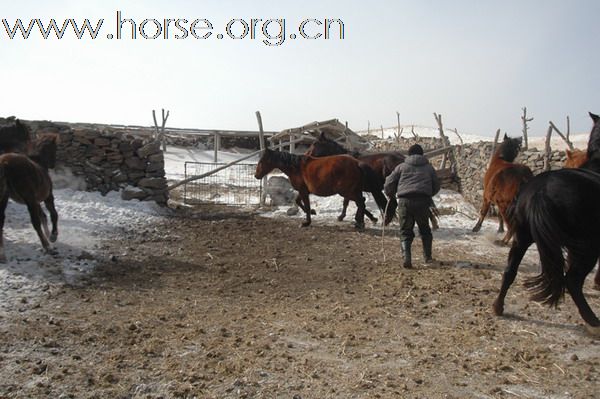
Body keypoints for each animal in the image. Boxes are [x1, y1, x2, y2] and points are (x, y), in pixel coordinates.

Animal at [0, 131, 58, 262]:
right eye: (55, 148)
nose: (53, 164)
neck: (40, 163)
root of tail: (5, 163)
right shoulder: (47, 197)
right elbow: (53, 214)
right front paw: (52, 236)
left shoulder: (35, 201)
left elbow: (43, 216)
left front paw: (48, 235)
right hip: (28, 198)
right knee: (35, 222)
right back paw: (47, 247)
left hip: (4, 198)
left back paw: (2, 255)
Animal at [254, 148, 386, 230]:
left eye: (262, 161)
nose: (256, 176)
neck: (296, 168)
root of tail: (357, 163)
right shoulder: (303, 191)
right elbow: (298, 201)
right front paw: (313, 212)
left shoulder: (303, 191)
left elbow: (306, 205)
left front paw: (306, 222)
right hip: (352, 190)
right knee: (361, 202)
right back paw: (364, 220)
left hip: (346, 191)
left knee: (361, 202)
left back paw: (360, 223)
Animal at [492, 111, 600, 336]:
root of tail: (541, 190)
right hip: (587, 246)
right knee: (572, 280)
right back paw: (593, 321)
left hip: (524, 236)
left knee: (510, 269)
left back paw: (498, 306)